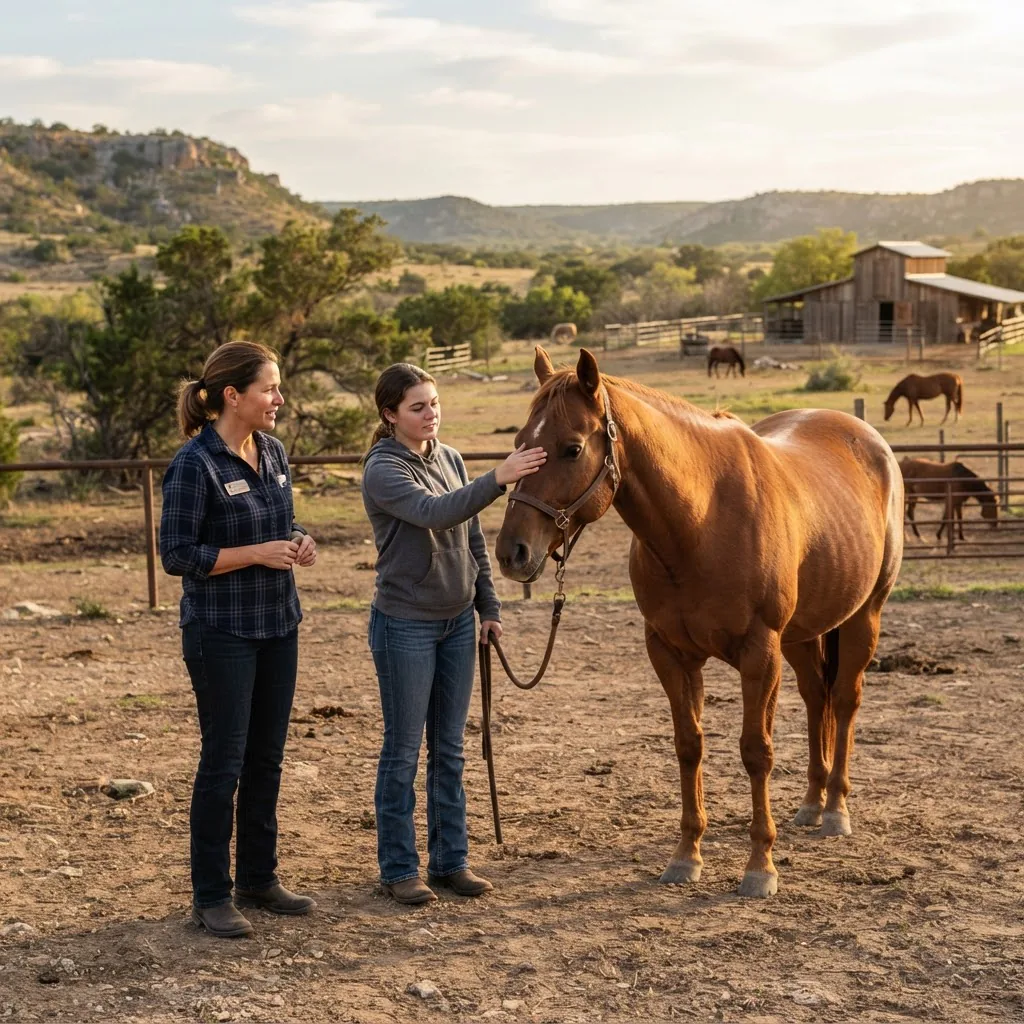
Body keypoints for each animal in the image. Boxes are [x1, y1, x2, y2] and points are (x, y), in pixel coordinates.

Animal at [496, 347, 904, 898]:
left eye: (571, 448)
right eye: (520, 443)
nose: (512, 552)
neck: (701, 520)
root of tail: (868, 438)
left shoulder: (759, 653)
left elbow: (756, 751)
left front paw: (760, 866)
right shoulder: (671, 652)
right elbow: (689, 746)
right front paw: (686, 856)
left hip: (864, 616)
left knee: (843, 699)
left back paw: (836, 808)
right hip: (802, 635)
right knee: (816, 697)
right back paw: (812, 803)